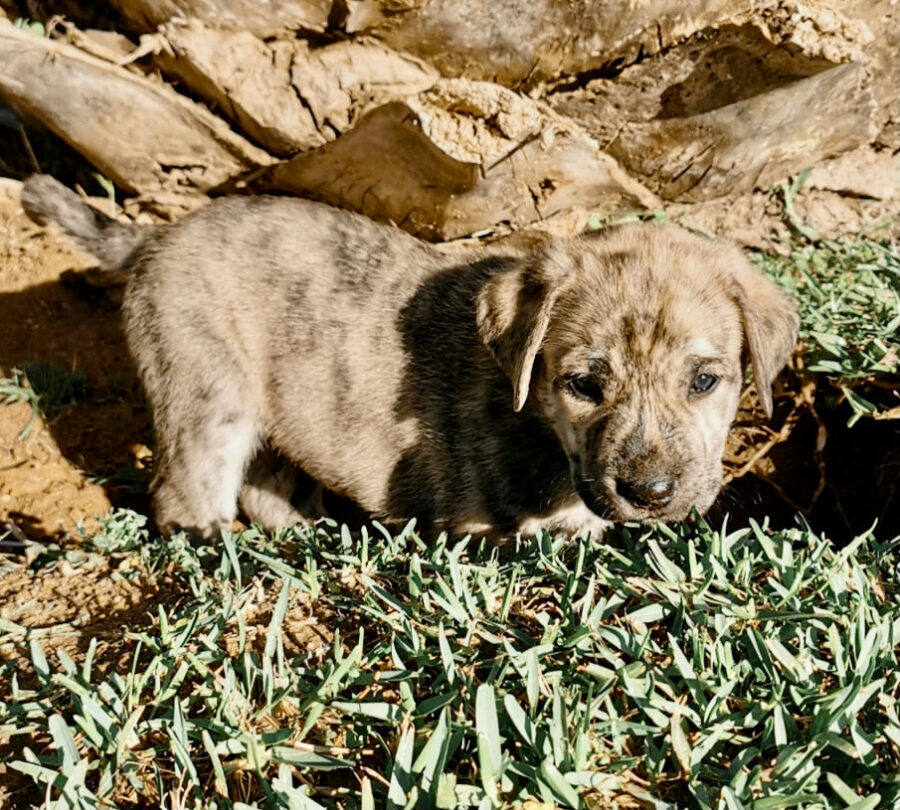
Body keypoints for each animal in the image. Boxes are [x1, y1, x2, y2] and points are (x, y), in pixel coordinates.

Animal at [21, 175, 798, 539]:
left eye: (706, 381)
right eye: (582, 383)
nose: (650, 494)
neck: (535, 422)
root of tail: (153, 236)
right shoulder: (485, 528)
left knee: (262, 485)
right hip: (208, 396)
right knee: (185, 493)